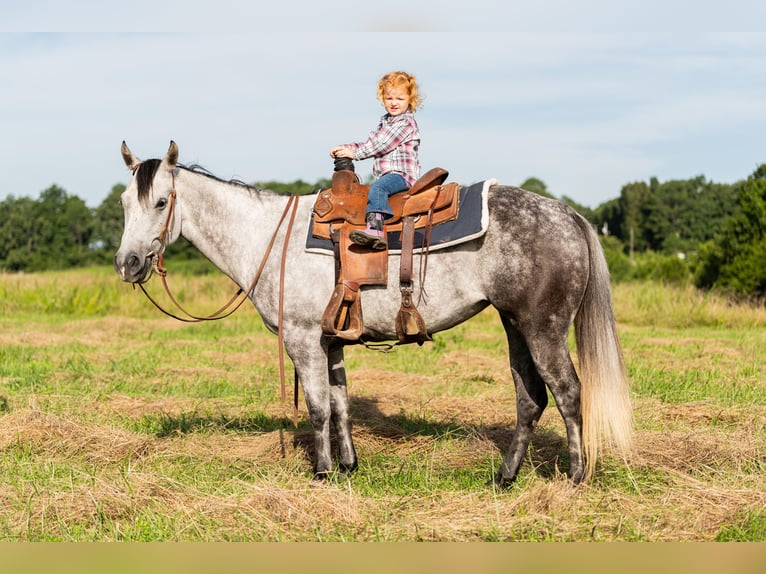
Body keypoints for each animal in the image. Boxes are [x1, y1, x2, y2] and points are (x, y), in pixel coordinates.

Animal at [114, 140, 633, 486]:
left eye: (161, 201)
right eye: (122, 203)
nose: (127, 263)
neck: (267, 237)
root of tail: (568, 215)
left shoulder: (303, 339)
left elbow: (319, 408)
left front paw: (322, 473)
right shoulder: (331, 341)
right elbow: (340, 403)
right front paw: (348, 466)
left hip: (544, 329)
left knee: (568, 393)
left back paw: (575, 477)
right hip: (515, 326)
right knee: (530, 399)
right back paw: (504, 477)